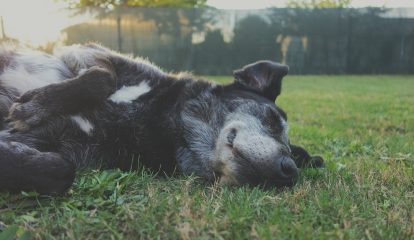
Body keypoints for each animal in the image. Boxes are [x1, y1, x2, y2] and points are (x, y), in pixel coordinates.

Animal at [0, 42, 324, 193]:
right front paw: (33, 106)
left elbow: (60, 170)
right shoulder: (87, 52)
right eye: (271, 118)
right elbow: (103, 78)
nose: (289, 171)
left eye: (294, 157)